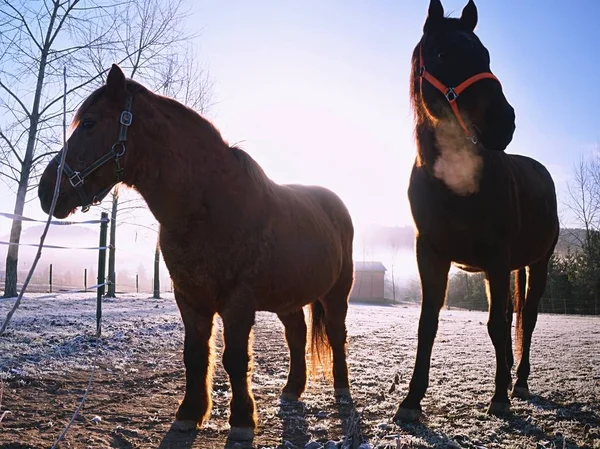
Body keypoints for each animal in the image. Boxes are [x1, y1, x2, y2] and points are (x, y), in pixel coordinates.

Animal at [37, 64, 354, 440]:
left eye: (89, 123)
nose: (46, 190)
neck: (207, 206)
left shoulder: (238, 301)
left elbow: (234, 359)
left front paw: (242, 420)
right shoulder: (189, 297)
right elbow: (195, 355)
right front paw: (190, 412)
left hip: (336, 293)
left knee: (336, 334)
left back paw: (342, 390)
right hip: (286, 298)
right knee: (296, 334)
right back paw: (292, 389)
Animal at [396, 0, 560, 420]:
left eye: (485, 55)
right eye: (442, 54)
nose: (503, 123)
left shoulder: (497, 257)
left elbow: (498, 326)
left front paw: (500, 396)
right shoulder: (430, 254)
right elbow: (428, 324)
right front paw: (411, 400)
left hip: (537, 262)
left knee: (527, 319)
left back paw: (519, 382)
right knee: (511, 314)